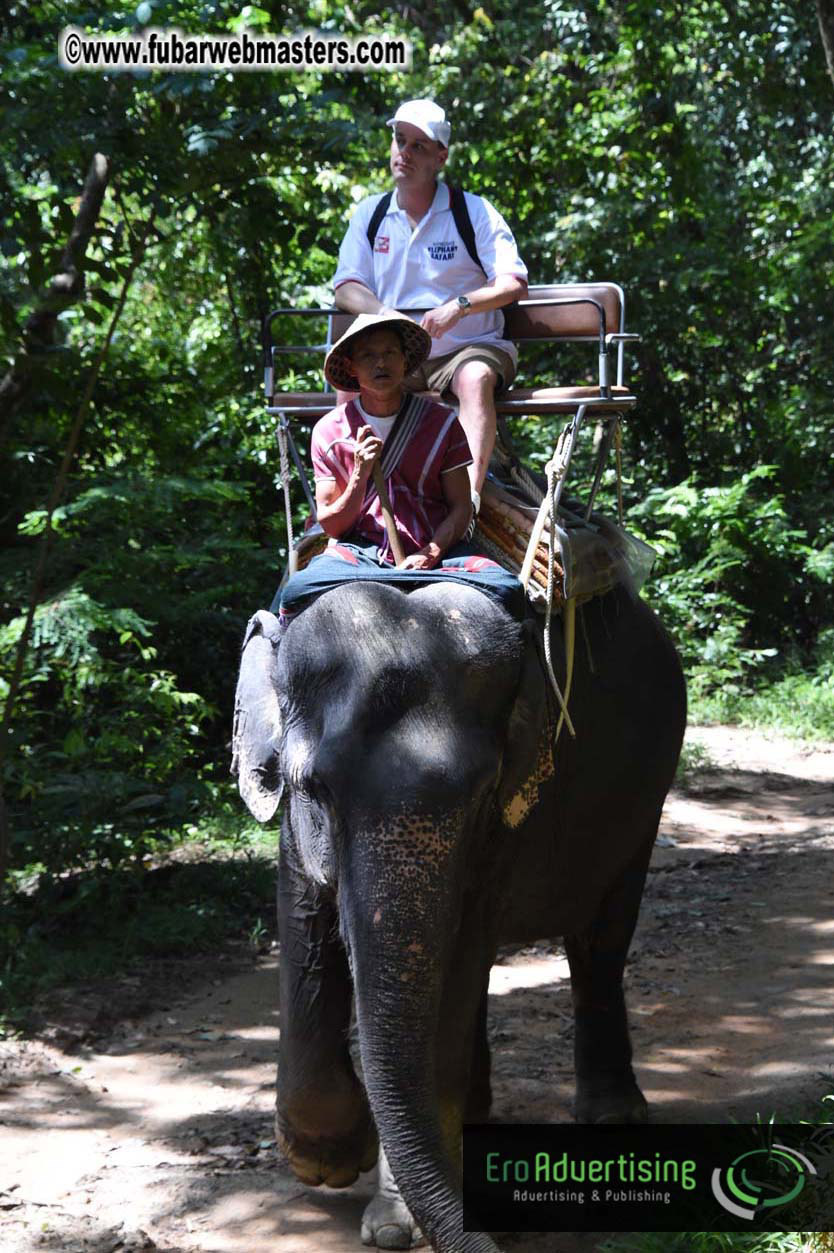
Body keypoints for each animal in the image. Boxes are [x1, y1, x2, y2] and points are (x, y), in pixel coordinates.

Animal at [232, 573, 686, 1252]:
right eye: (315, 789)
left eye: (483, 794)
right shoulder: (291, 828)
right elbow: (305, 932)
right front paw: (331, 1162)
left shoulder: (508, 823)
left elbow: (455, 977)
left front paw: (396, 1227)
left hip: (644, 803)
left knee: (599, 941)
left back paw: (612, 1115)